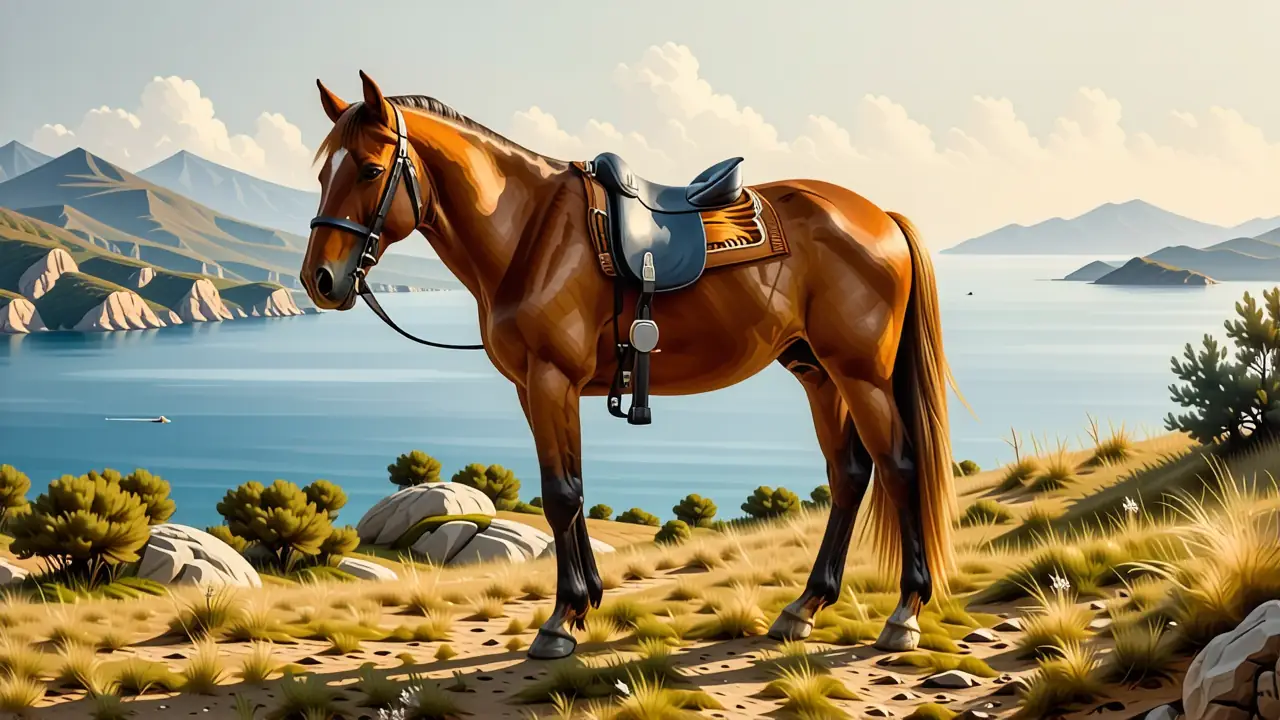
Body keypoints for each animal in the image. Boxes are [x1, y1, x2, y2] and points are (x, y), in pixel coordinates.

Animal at [300, 70, 960, 660]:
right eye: (324, 172)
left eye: (369, 169)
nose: (319, 280)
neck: (530, 233)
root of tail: (881, 216)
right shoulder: (536, 388)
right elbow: (568, 488)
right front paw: (584, 602)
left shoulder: (552, 379)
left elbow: (561, 495)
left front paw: (559, 622)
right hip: (818, 373)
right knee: (849, 474)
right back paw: (804, 607)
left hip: (862, 375)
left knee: (899, 468)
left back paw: (904, 615)